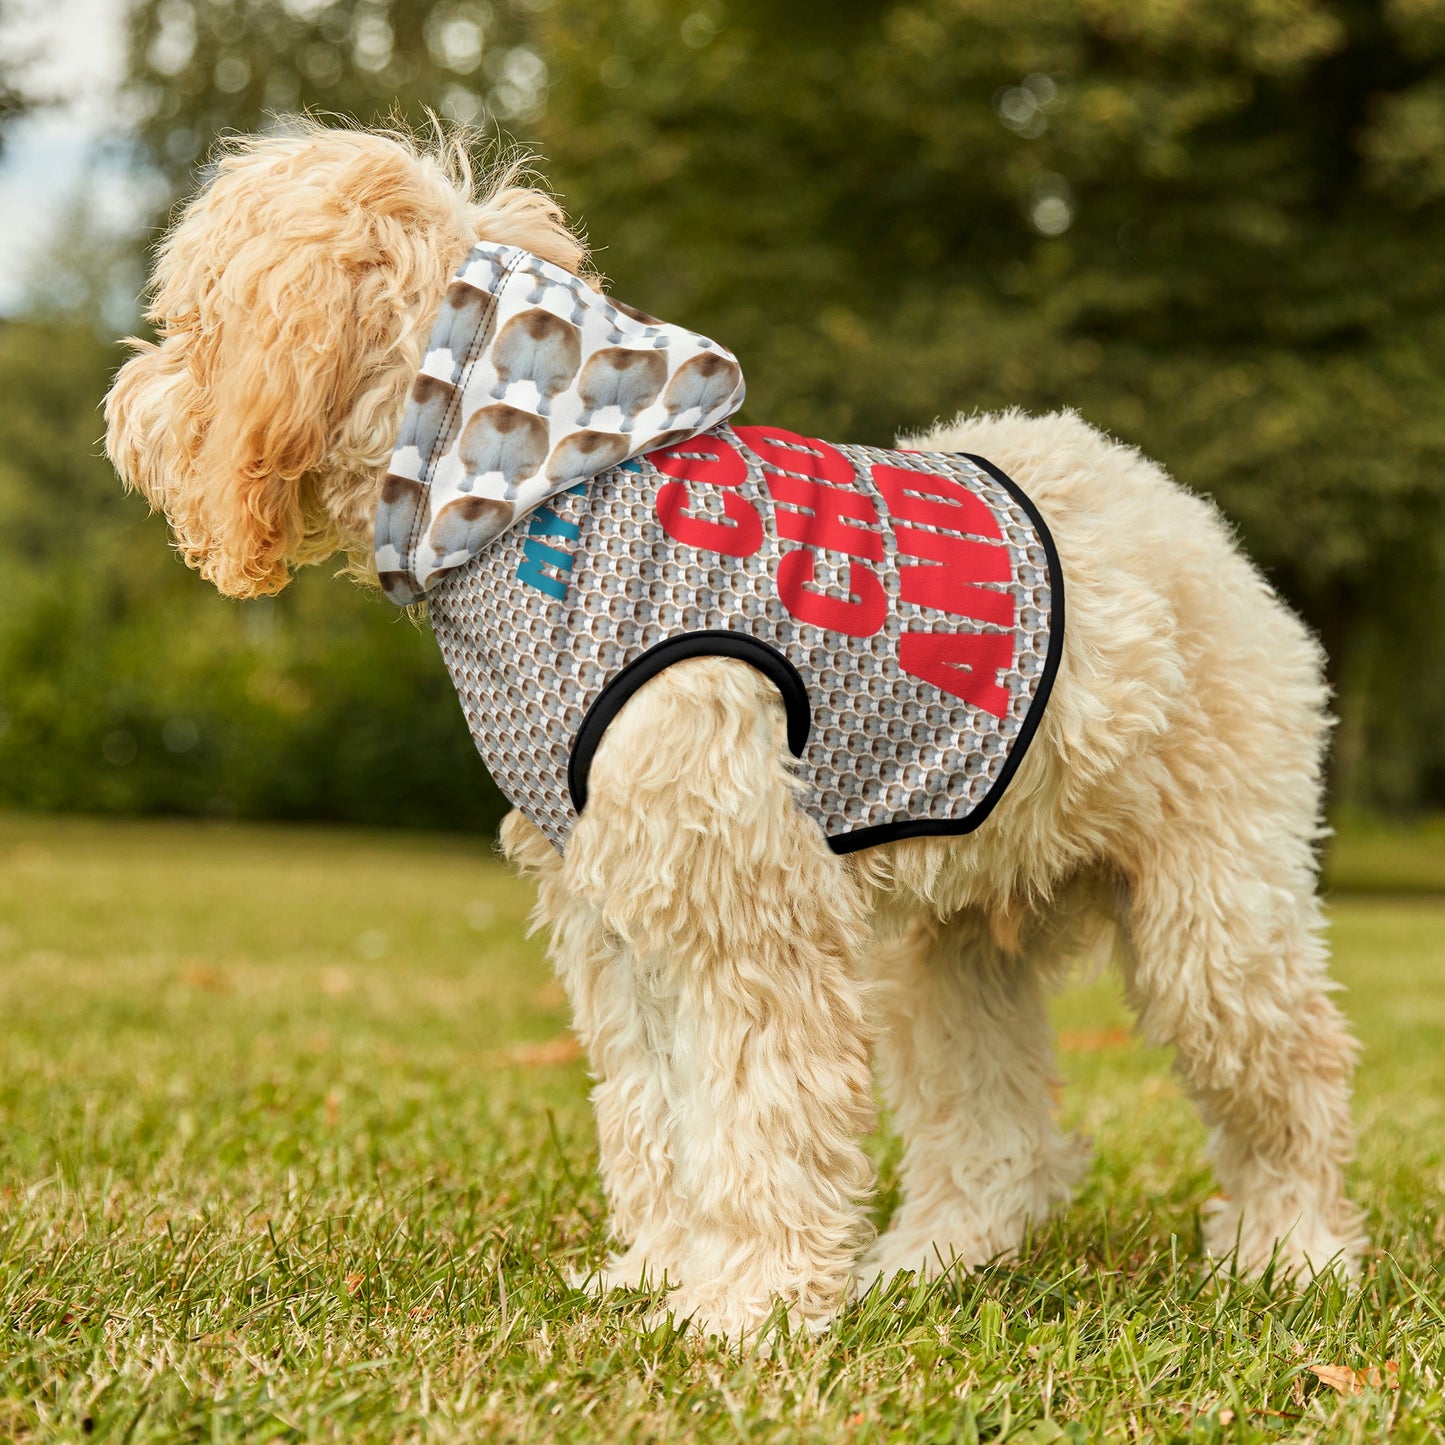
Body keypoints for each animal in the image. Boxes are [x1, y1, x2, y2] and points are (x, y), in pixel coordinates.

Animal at [106, 124, 1358, 1340]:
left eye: (190, 323)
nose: (122, 409)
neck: (539, 491)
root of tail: (1188, 519)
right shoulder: (617, 910)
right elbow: (656, 1111)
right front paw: (660, 1273)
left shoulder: (744, 903)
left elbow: (758, 1115)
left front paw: (745, 1305)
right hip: (951, 945)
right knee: (997, 1134)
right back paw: (930, 1261)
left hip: (1212, 914)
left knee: (1293, 1074)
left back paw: (1291, 1253)